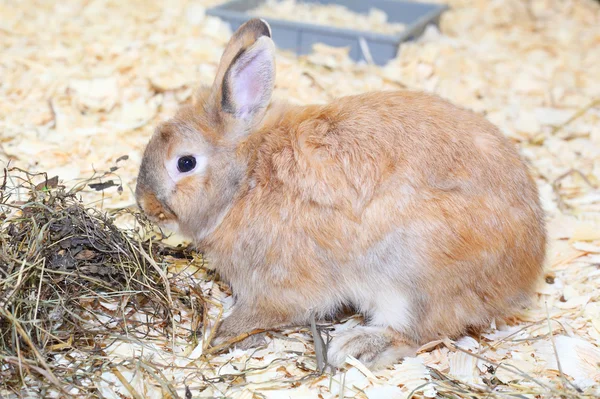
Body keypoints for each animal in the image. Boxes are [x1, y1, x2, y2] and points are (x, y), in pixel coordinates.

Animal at [135, 18, 544, 368]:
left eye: (185, 163)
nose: (145, 203)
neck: (245, 178)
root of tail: (528, 268)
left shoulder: (279, 281)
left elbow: (268, 312)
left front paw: (223, 334)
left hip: (410, 277)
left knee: (419, 332)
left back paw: (355, 347)